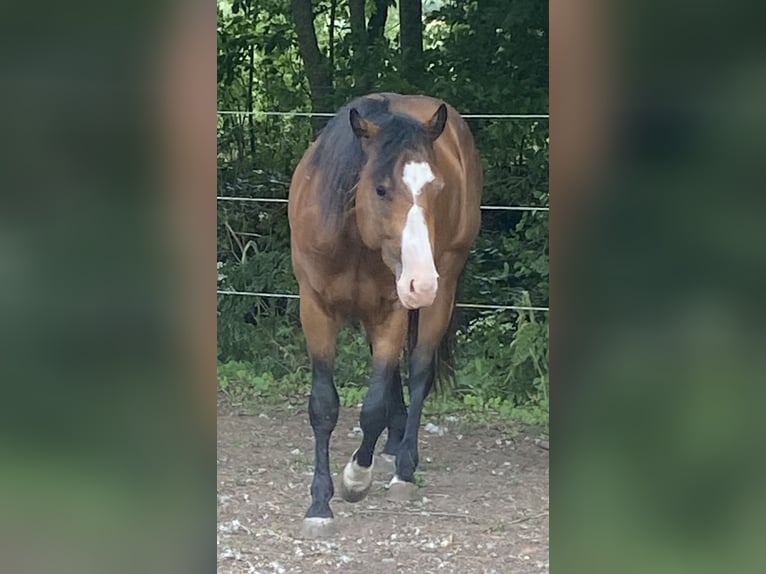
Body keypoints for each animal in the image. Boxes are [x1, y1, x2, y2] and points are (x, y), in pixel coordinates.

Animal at [288, 93, 482, 538]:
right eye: (380, 188)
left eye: (437, 188)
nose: (421, 282)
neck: (354, 240)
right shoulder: (315, 309)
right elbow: (323, 405)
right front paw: (319, 505)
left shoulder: (393, 309)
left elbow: (373, 405)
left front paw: (356, 479)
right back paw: (392, 447)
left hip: (441, 289)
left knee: (418, 371)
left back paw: (403, 467)